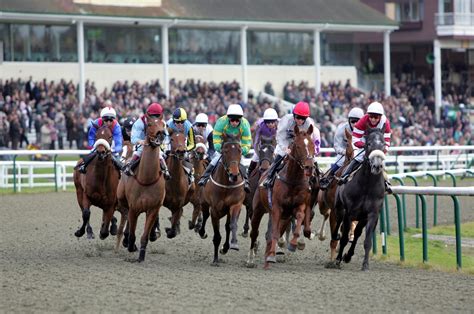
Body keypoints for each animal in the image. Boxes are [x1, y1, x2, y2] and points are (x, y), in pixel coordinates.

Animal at [115, 118, 166, 262]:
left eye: (163, 124)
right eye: (150, 124)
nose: (161, 133)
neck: (147, 179)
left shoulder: (153, 209)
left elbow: (145, 236)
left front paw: (141, 255)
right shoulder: (134, 208)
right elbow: (132, 233)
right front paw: (130, 245)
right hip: (123, 200)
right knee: (125, 217)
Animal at [198, 132, 246, 264]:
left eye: (240, 150)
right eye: (225, 151)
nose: (234, 174)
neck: (227, 185)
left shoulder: (235, 205)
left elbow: (232, 225)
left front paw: (232, 245)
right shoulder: (215, 210)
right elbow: (217, 236)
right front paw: (215, 259)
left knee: (227, 226)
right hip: (204, 203)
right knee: (205, 215)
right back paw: (202, 232)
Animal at [262, 125, 314, 270]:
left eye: (312, 144)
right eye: (298, 146)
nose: (309, 167)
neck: (293, 180)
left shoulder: (300, 205)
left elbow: (300, 218)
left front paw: (294, 244)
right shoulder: (277, 208)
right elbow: (274, 233)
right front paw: (271, 256)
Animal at [330, 127, 386, 270]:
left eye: (383, 144)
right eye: (369, 144)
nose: (377, 166)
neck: (367, 185)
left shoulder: (372, 214)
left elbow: (367, 240)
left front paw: (365, 264)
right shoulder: (349, 213)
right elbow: (344, 238)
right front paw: (337, 260)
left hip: (362, 218)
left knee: (357, 234)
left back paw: (348, 256)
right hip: (339, 208)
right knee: (338, 225)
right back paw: (336, 239)